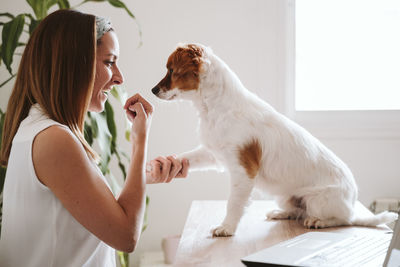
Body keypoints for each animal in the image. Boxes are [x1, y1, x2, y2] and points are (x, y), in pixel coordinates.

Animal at [152, 43, 398, 238]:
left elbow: (234, 202)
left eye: (171, 71)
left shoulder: (243, 170)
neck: (215, 108)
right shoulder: (214, 153)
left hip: (321, 200)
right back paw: (282, 213)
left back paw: (319, 221)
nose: (153, 90)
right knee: (299, 210)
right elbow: (188, 157)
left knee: (342, 219)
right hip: (285, 197)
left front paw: (227, 228)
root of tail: (353, 201)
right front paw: (166, 164)